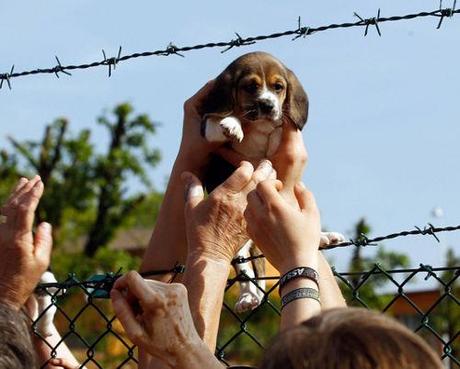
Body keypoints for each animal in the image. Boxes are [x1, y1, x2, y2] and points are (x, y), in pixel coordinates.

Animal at [199, 51, 344, 310]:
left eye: (278, 87)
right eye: (250, 87)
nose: (268, 105)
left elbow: (277, 132)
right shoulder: (207, 131)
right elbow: (216, 121)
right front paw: (232, 123)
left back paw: (324, 237)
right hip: (239, 242)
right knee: (246, 269)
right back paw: (248, 297)